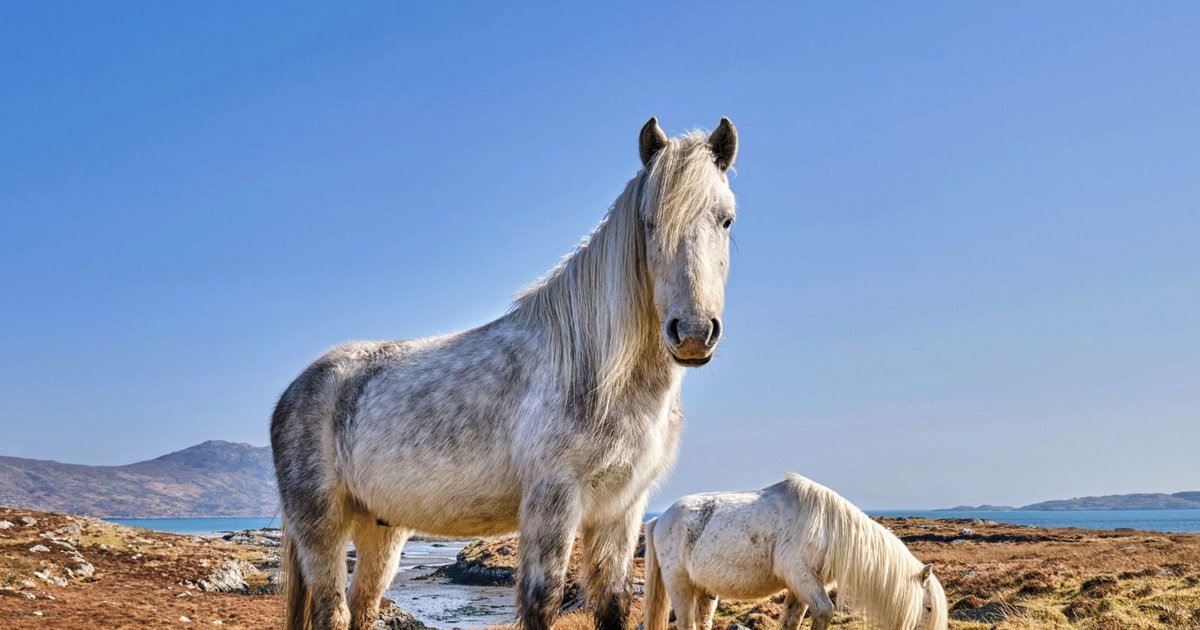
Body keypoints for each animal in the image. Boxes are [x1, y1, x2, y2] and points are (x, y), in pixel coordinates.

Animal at [273, 117, 739, 628]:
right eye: (650, 222)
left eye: (726, 220)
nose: (692, 332)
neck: (595, 372)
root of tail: (296, 388)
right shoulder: (552, 504)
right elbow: (542, 601)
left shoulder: (620, 512)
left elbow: (614, 605)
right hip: (323, 529)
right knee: (332, 611)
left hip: (380, 529)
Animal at [648, 470, 945, 628]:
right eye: (929, 608)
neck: (828, 527)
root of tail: (660, 519)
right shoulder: (801, 577)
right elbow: (824, 611)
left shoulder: (801, 586)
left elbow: (792, 621)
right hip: (680, 585)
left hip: (705, 591)